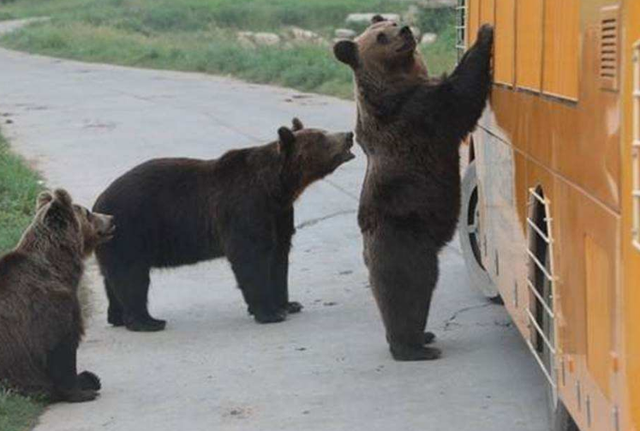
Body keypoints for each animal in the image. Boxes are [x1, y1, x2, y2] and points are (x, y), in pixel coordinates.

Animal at [0, 189, 115, 402]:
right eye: (87, 212)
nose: (111, 218)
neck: (60, 267)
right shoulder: (52, 304)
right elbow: (61, 346)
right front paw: (82, 391)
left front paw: (88, 379)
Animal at [93, 116, 356, 332]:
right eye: (321, 137)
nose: (348, 135)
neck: (276, 187)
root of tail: (97, 204)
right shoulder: (246, 207)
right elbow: (250, 255)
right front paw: (268, 312)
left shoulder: (279, 214)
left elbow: (279, 256)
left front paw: (288, 304)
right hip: (131, 230)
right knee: (132, 277)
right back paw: (147, 321)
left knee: (113, 278)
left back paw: (117, 316)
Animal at [336, 20, 496, 362]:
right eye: (381, 37)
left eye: (392, 22)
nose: (407, 30)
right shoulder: (417, 113)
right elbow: (460, 96)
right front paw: (485, 33)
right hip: (404, 238)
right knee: (409, 290)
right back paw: (413, 347)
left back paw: (424, 335)